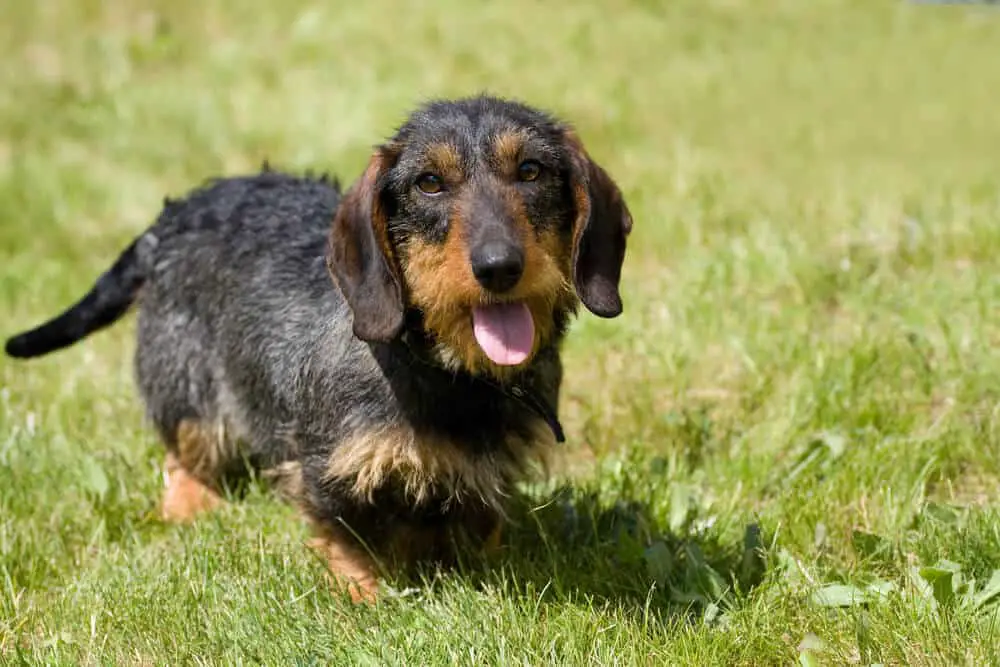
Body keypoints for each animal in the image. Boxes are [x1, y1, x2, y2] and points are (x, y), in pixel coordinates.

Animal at [5, 96, 632, 604]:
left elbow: (482, 523)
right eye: (429, 182)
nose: (499, 266)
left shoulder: (491, 470)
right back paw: (190, 506)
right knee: (184, 453)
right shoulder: (326, 466)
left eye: (530, 170)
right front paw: (365, 598)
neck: (445, 374)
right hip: (186, 386)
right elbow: (346, 536)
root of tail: (175, 214)